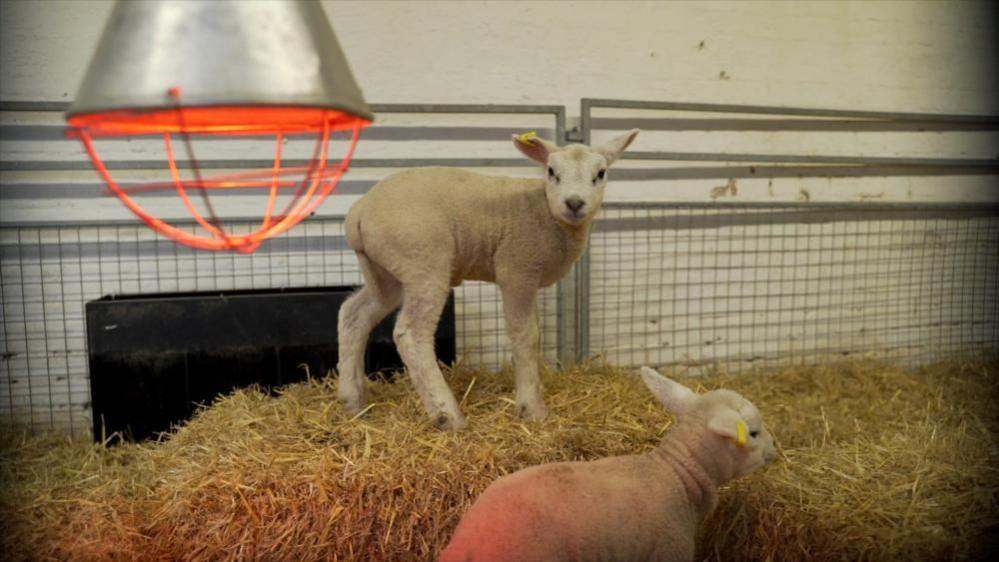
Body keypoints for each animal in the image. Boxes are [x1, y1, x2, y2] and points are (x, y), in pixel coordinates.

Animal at [336, 128, 640, 428]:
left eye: (600, 173)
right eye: (552, 172)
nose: (574, 203)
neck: (545, 210)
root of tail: (359, 213)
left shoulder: (529, 279)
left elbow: (536, 332)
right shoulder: (517, 271)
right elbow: (526, 335)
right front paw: (531, 408)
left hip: (383, 272)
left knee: (353, 314)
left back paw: (352, 401)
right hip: (423, 262)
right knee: (411, 333)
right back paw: (447, 415)